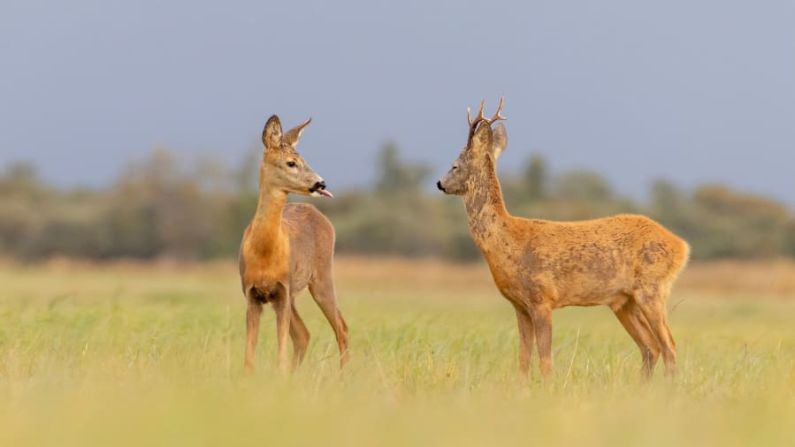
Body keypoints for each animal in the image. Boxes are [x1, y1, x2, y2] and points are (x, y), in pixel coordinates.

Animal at [238, 116, 346, 374]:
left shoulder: (283, 291)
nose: (321, 183)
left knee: (341, 328)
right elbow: (249, 357)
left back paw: (342, 376)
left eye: (304, 160)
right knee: (304, 335)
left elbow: (281, 354)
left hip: (321, 276)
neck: (265, 253)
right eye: (291, 163)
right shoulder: (252, 294)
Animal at [436, 100, 692, 380]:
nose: (440, 183)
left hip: (652, 289)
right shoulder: (519, 305)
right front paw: (521, 386)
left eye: (455, 165)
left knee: (669, 346)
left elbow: (545, 358)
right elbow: (523, 358)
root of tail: (681, 246)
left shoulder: (542, 298)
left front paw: (547, 385)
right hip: (624, 301)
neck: (507, 240)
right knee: (651, 347)